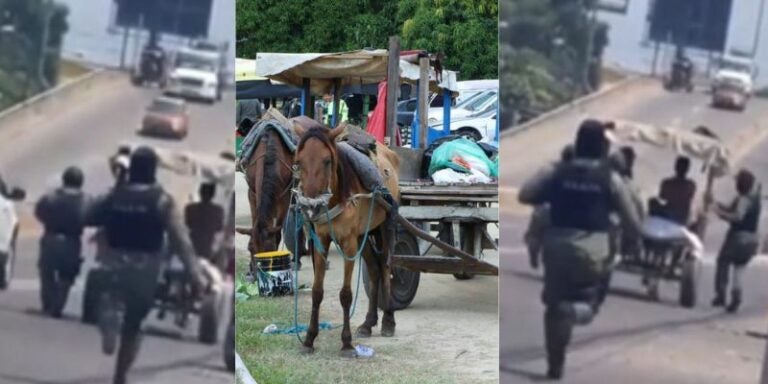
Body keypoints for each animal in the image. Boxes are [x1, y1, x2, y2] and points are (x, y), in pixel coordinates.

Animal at [292, 123, 402, 356]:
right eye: (298, 162)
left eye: (327, 160)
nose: (311, 207)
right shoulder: (321, 241)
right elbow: (317, 291)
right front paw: (309, 339)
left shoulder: (349, 244)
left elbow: (346, 295)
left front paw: (346, 342)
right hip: (364, 234)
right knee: (375, 270)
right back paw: (368, 323)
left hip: (384, 227)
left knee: (386, 267)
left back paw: (388, 320)